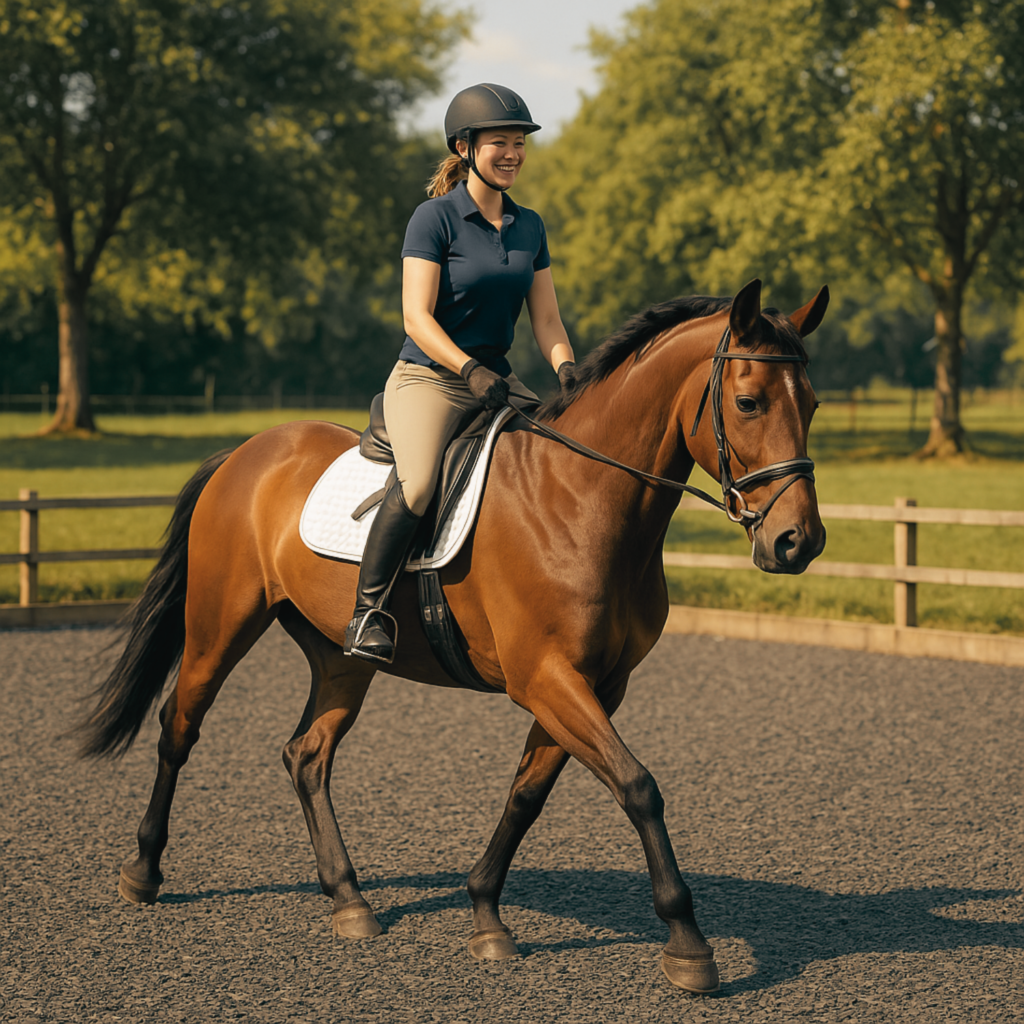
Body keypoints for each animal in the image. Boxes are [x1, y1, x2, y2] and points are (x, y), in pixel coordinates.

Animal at [77, 278, 828, 995]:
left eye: (814, 404)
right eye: (749, 402)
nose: (799, 542)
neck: (581, 497)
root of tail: (248, 450)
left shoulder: (595, 685)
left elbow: (527, 795)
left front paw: (486, 914)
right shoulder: (547, 678)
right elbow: (638, 786)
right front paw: (688, 944)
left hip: (343, 657)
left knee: (307, 755)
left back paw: (348, 900)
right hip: (219, 625)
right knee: (179, 726)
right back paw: (143, 871)